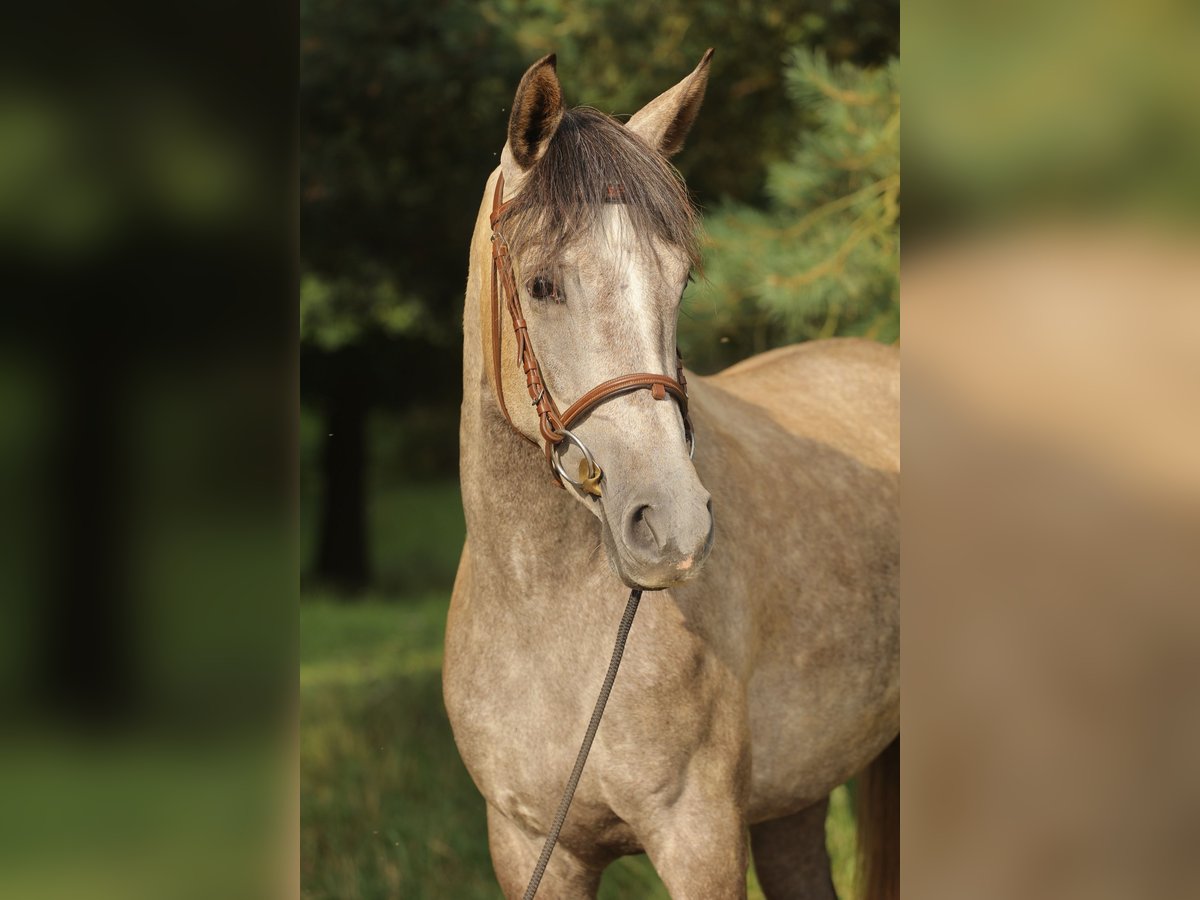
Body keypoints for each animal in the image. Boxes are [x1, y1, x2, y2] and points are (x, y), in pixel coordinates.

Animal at [446, 52, 897, 897]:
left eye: (680, 280)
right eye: (541, 284)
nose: (672, 524)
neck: (543, 615)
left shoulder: (699, 837)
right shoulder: (527, 846)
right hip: (794, 803)